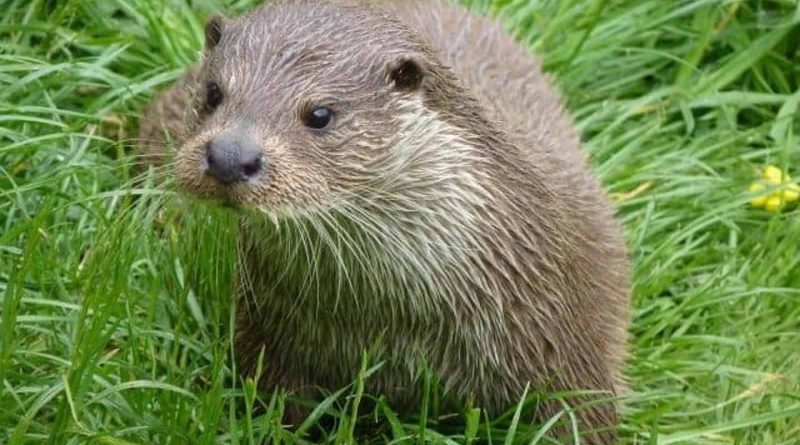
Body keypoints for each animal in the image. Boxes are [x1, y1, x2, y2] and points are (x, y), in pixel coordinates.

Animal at [138, 0, 630, 442]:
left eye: (320, 114)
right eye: (214, 92)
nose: (229, 155)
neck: (397, 318)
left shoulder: (566, 340)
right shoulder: (266, 333)